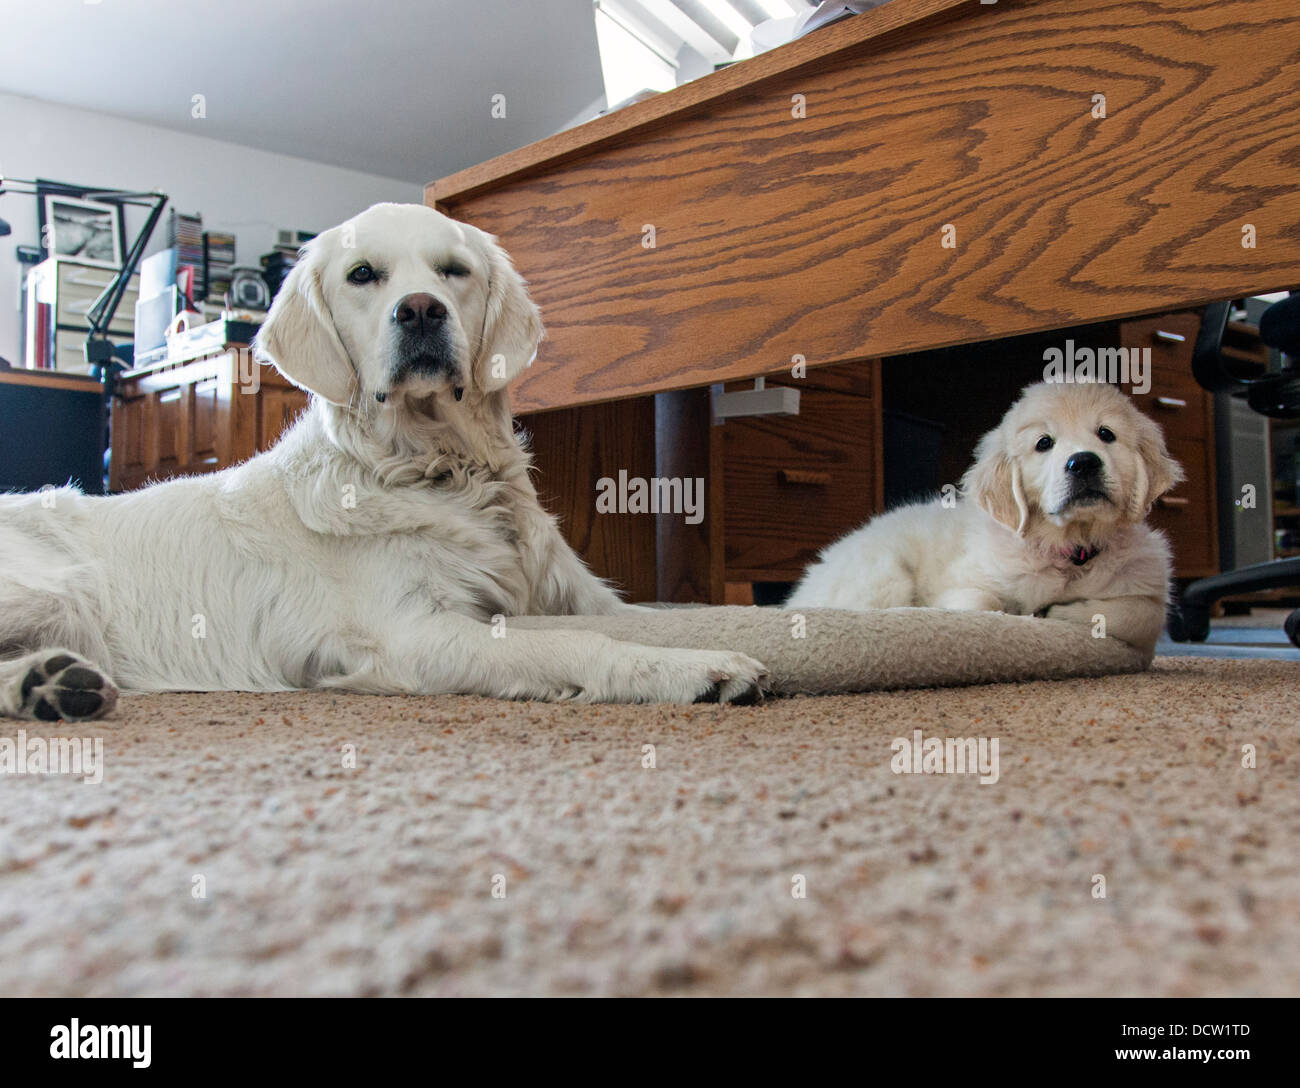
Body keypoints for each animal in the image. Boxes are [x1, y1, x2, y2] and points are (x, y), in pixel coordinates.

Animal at [785, 382, 1185, 652]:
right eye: (1044, 443)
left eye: (1106, 434)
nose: (1083, 462)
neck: (1071, 548)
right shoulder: (968, 579)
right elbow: (982, 606)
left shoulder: (1147, 587)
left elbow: (1138, 616)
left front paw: (1059, 613)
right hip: (885, 572)